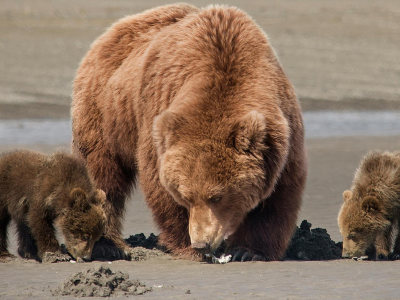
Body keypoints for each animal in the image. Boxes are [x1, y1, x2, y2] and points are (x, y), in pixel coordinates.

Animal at [72, 3, 306, 260]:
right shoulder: (158, 117)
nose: (201, 243)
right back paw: (106, 245)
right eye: (186, 195)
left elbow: (278, 195)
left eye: (217, 196)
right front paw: (187, 246)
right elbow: (160, 185)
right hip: (105, 113)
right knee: (102, 175)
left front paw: (248, 251)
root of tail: (113, 30)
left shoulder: (281, 134)